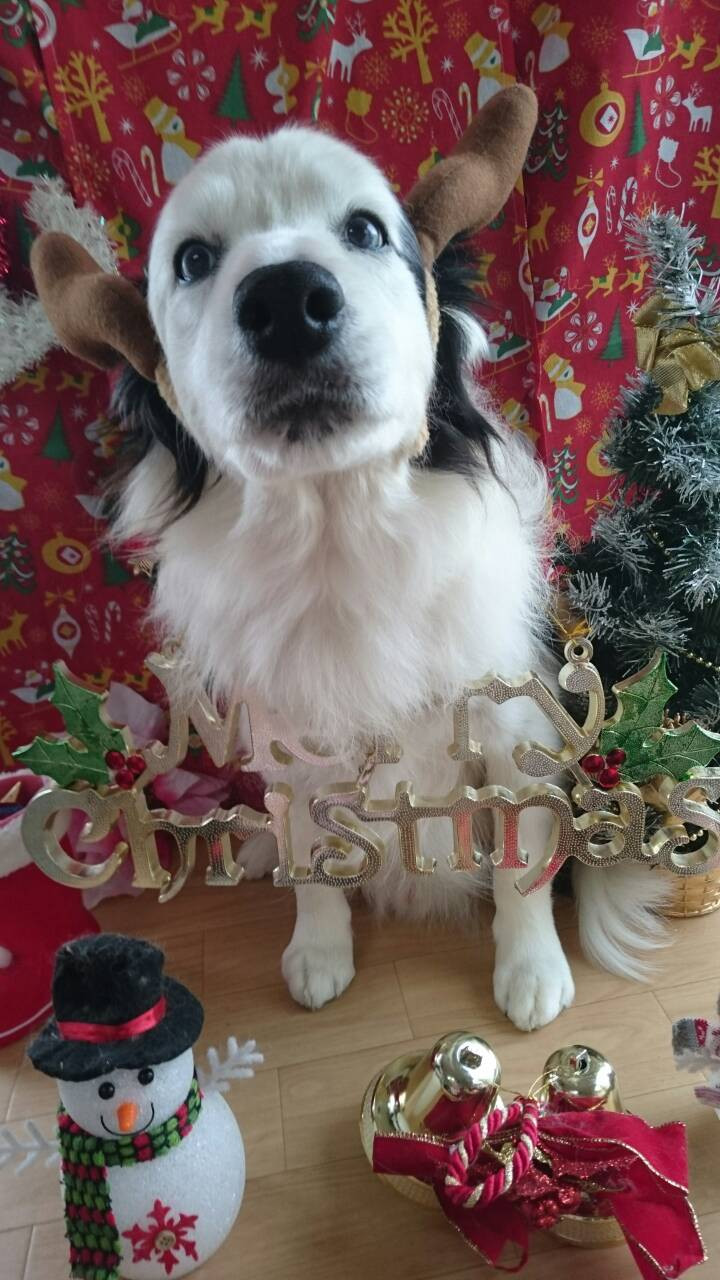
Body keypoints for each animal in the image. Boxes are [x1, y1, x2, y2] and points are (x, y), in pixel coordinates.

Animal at [32, 91, 668, 1029]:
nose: (288, 298)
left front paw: (530, 970)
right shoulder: (287, 745)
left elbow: (521, 860)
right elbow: (310, 857)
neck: (339, 538)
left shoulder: (514, 728)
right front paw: (320, 951)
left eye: (365, 230)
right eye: (193, 259)